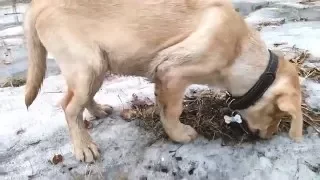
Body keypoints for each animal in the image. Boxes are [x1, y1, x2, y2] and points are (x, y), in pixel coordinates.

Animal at [23, 0, 304, 163]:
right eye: (279, 114)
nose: (268, 137)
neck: (239, 50)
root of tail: (38, 5)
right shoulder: (172, 72)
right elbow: (173, 110)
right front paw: (180, 135)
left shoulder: (164, 78)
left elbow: (163, 106)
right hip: (87, 66)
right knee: (69, 107)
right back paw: (84, 147)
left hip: (99, 65)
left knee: (81, 100)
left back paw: (98, 111)